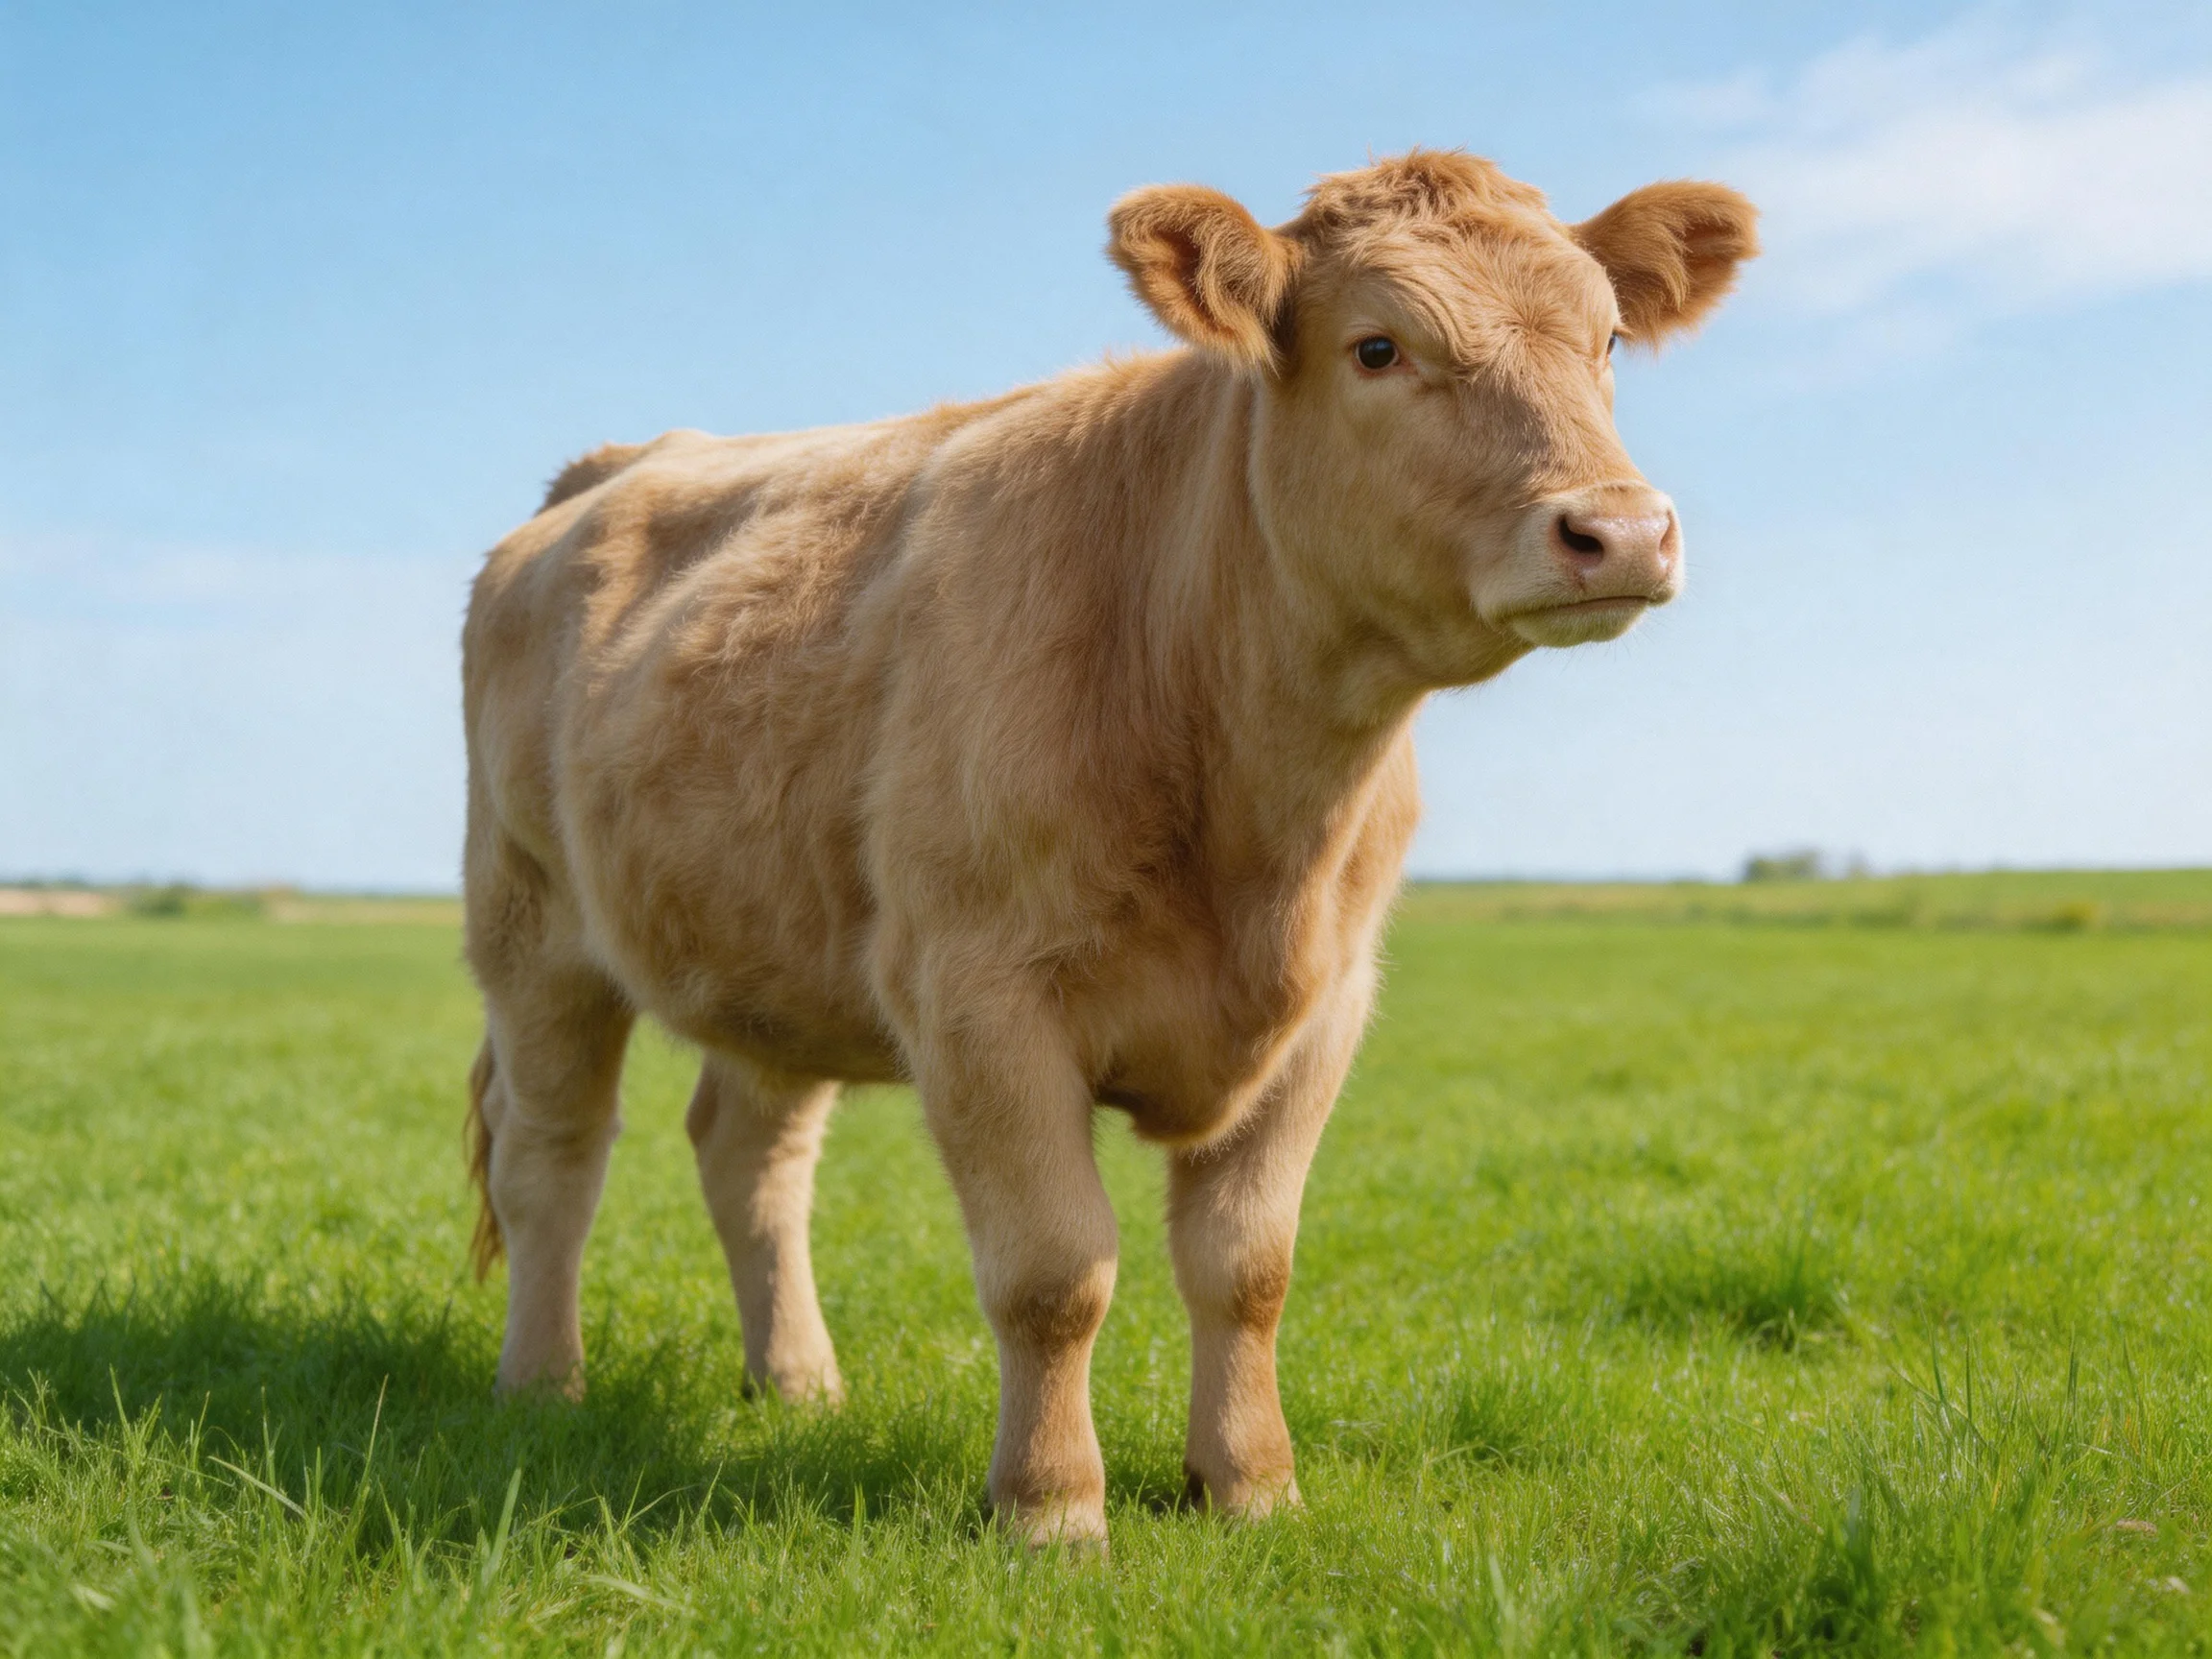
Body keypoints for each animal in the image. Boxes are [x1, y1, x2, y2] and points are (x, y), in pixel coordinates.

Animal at [460, 149, 1756, 1547]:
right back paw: (540, 1387)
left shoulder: (1327, 1008)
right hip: (530, 930)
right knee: (552, 1157)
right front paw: (1051, 1508)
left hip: (771, 947)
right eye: (1377, 347)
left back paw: (799, 1384)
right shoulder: (977, 995)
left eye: (1609, 339)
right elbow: (1053, 1270)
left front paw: (1250, 1484)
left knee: (751, 1156)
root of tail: (615, 466)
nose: (1619, 529)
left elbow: (1248, 1265)